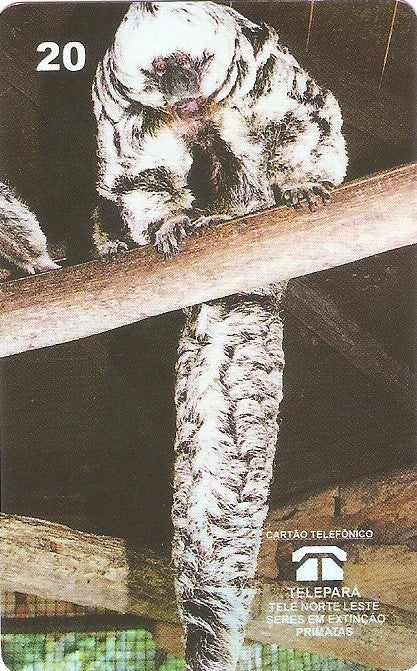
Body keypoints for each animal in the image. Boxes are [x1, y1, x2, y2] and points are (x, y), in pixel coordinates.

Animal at [92, 3, 348, 670]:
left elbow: (302, 119)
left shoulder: (260, 70)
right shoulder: (121, 111)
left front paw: (300, 185)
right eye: (161, 74)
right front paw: (169, 224)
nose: (185, 96)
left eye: (195, 66)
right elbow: (139, 175)